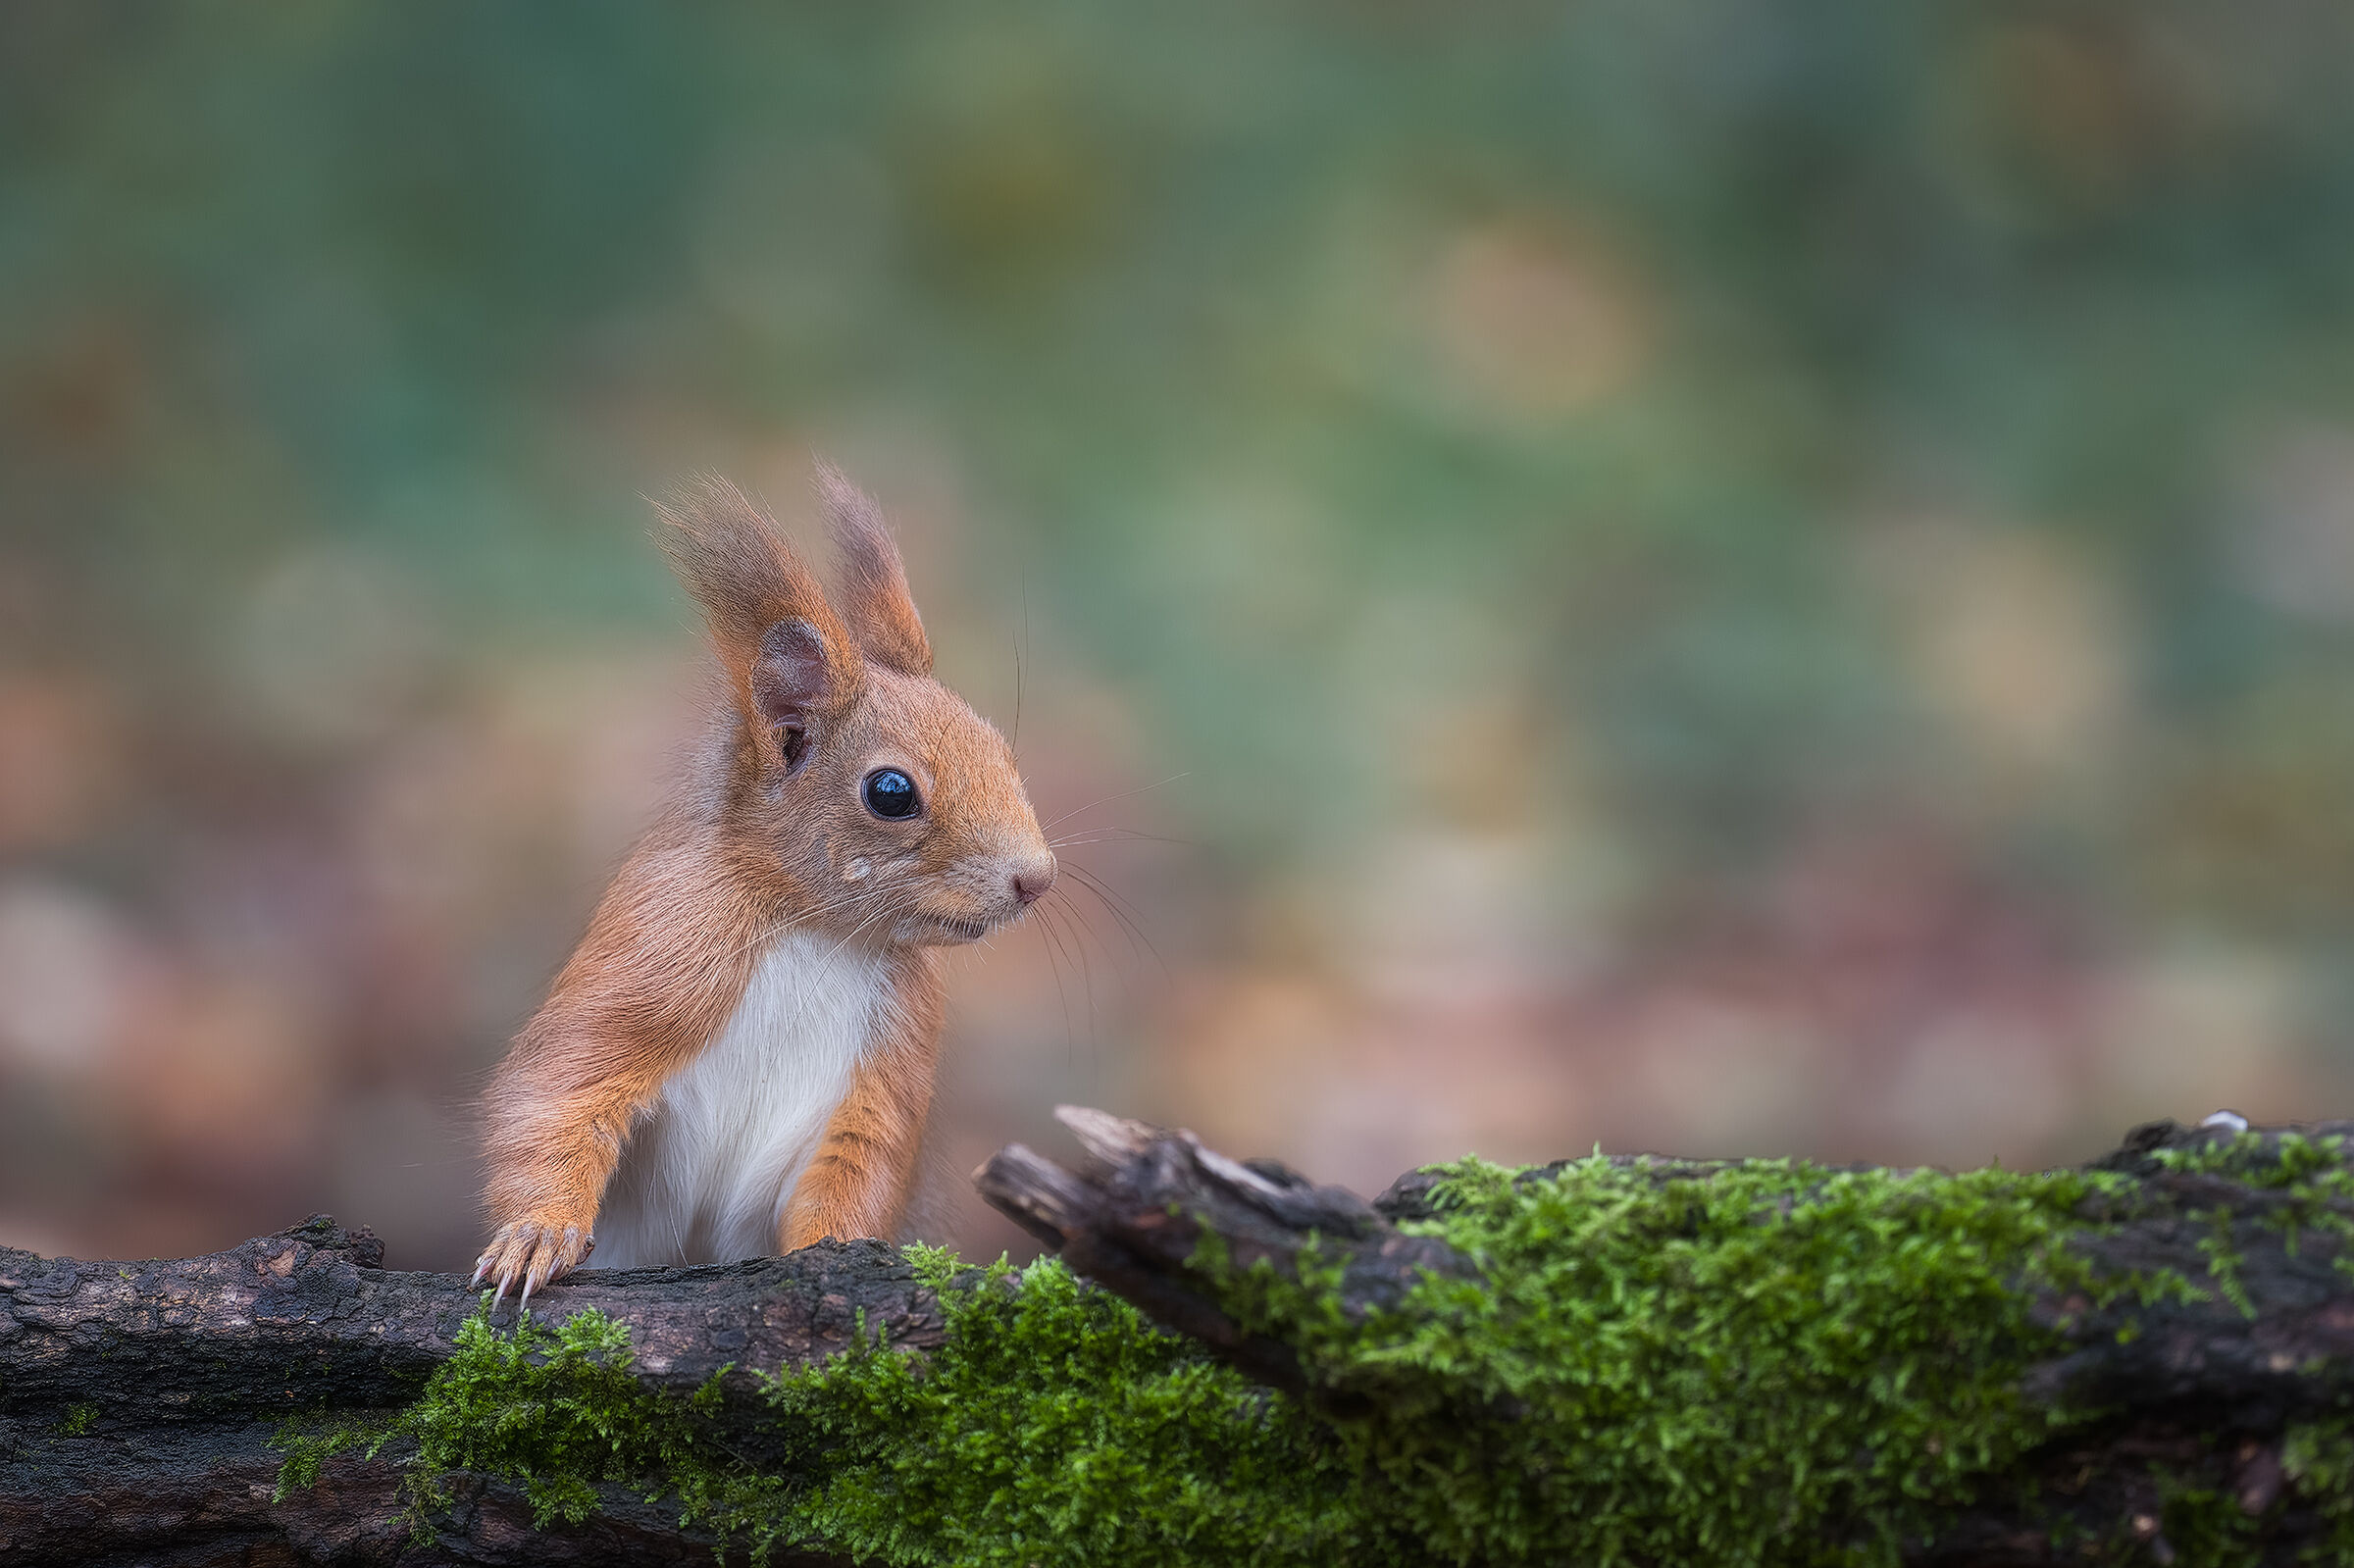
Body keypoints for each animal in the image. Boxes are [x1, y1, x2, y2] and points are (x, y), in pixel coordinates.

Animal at [471, 466, 1056, 1307]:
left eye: (999, 747)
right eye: (891, 791)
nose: (1036, 878)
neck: (811, 927)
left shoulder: (890, 1056)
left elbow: (857, 1170)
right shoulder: (654, 956)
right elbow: (557, 1094)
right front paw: (535, 1234)